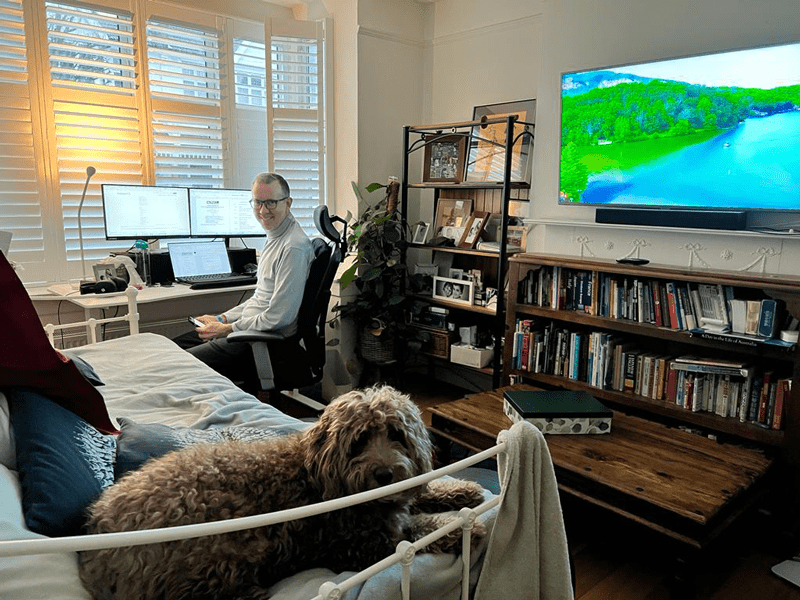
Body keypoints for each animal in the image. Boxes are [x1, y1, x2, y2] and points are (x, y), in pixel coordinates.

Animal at [78, 386, 484, 596]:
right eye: (358, 441)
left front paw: (463, 490)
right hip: (223, 550)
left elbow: (424, 493)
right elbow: (421, 531)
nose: (385, 474)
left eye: (397, 434)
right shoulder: (365, 543)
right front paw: (469, 526)